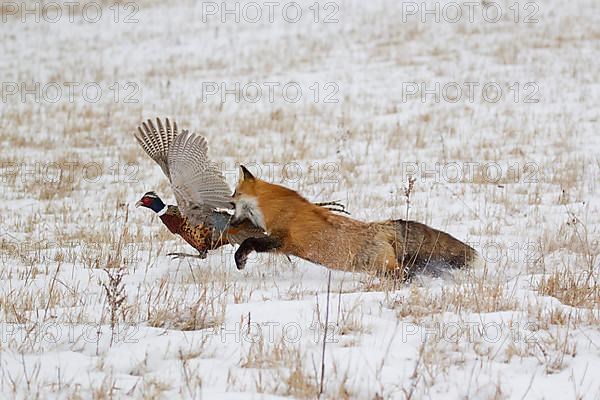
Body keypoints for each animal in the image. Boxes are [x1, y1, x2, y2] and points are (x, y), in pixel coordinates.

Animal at [230, 166, 482, 278]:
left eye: (233, 200)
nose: (230, 222)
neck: (275, 207)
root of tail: (384, 226)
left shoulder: (282, 240)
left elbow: (250, 242)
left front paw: (240, 259)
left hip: (383, 268)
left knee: (405, 275)